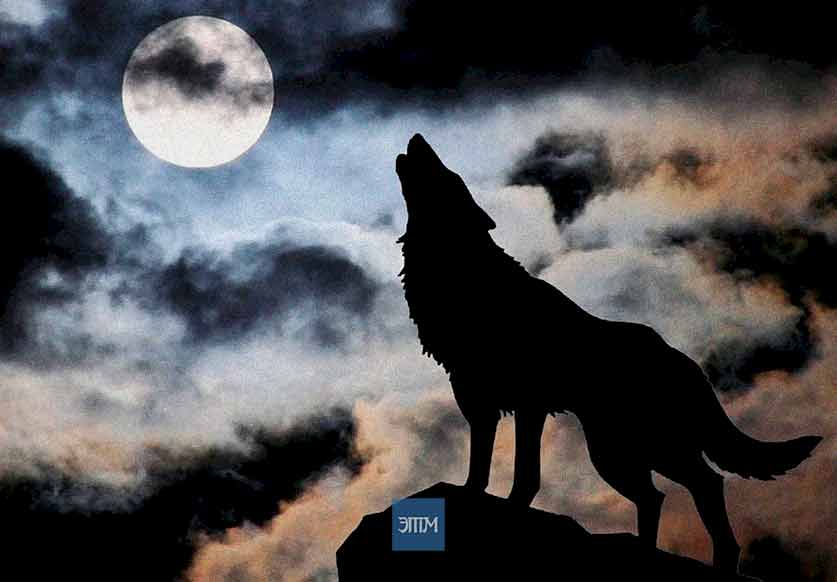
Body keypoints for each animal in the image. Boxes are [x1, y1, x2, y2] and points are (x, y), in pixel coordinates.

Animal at [395, 133, 822, 572]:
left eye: (448, 176)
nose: (417, 138)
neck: (468, 275)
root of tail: (686, 363)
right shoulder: (480, 401)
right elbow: (481, 472)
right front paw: (474, 496)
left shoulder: (526, 405)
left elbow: (525, 476)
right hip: (621, 452)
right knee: (663, 494)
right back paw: (648, 553)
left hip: (631, 449)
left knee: (703, 484)